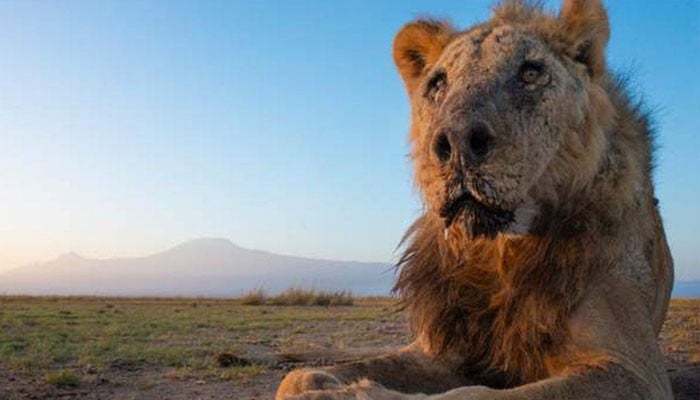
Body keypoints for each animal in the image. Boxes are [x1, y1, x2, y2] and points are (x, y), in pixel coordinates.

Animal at [274, 1, 672, 398]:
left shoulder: (633, 369)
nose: (458, 141)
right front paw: (320, 383)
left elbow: (473, 393)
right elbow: (299, 376)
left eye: (531, 72)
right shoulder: (442, 348)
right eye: (438, 83)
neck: (498, 251)